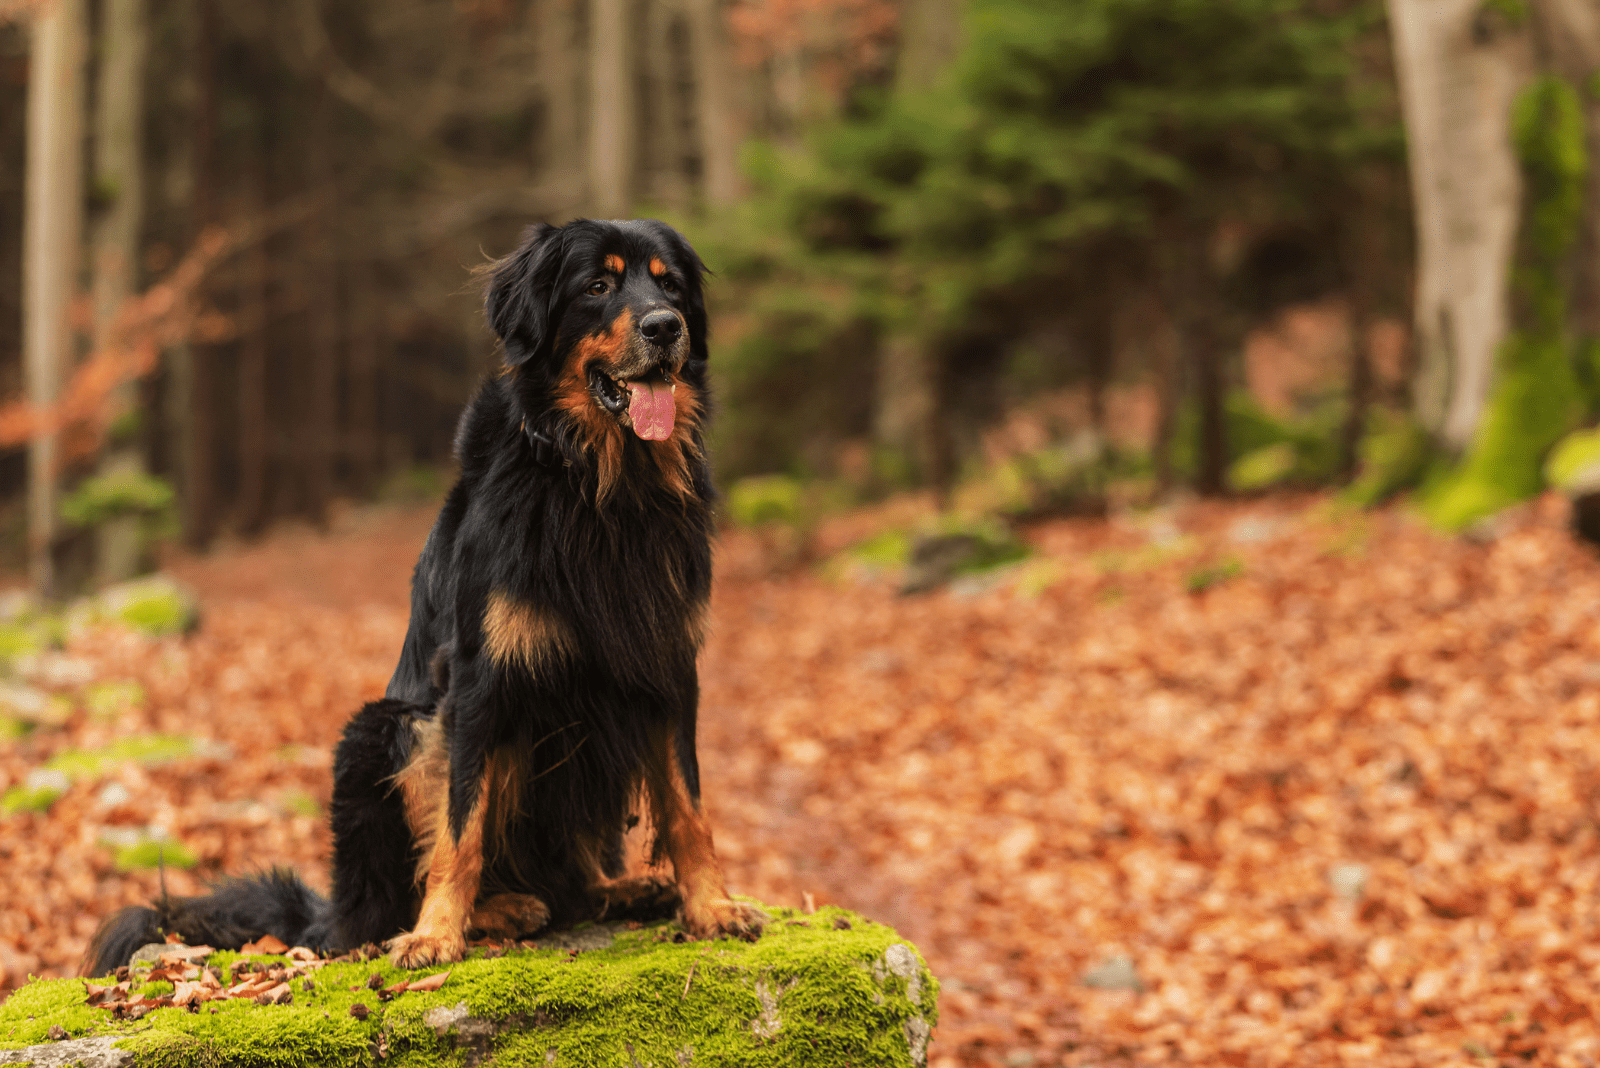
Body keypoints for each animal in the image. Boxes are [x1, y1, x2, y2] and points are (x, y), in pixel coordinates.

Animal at [84, 219, 764, 978]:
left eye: (669, 285)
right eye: (598, 285)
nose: (665, 327)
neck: (598, 483)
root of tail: (333, 912)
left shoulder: (667, 668)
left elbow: (689, 806)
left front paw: (712, 905)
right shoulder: (480, 683)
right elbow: (460, 829)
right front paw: (438, 933)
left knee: (574, 884)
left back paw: (620, 889)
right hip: (384, 731)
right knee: (394, 901)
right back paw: (499, 909)